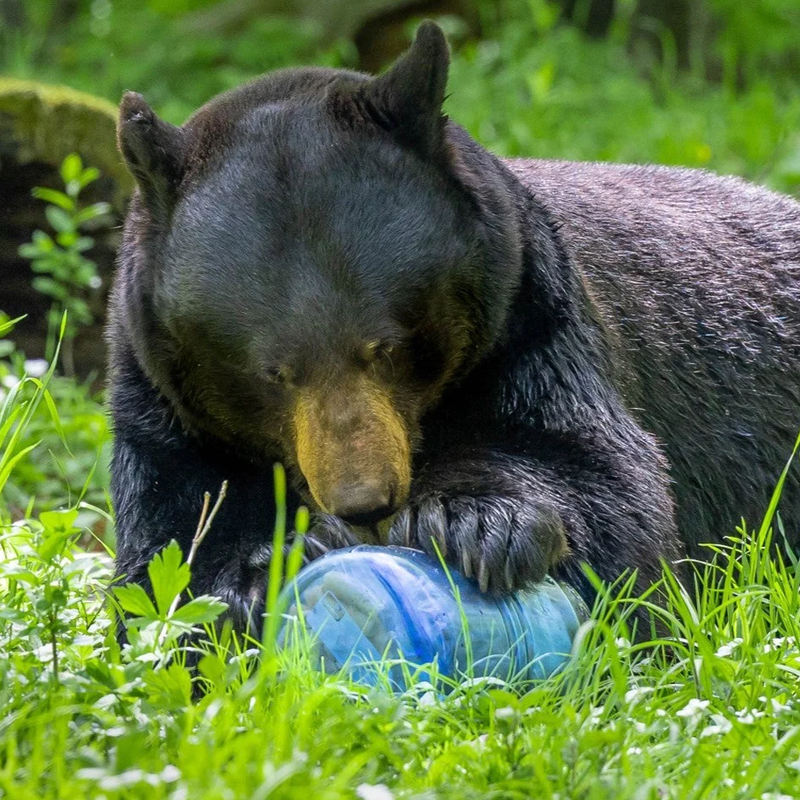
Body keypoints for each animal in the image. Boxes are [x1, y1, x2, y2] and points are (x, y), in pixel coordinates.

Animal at [109, 22, 800, 634]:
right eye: (273, 373)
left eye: (385, 347)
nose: (365, 502)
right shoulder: (161, 403)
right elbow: (169, 539)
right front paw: (258, 575)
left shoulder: (533, 316)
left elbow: (602, 477)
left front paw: (474, 521)